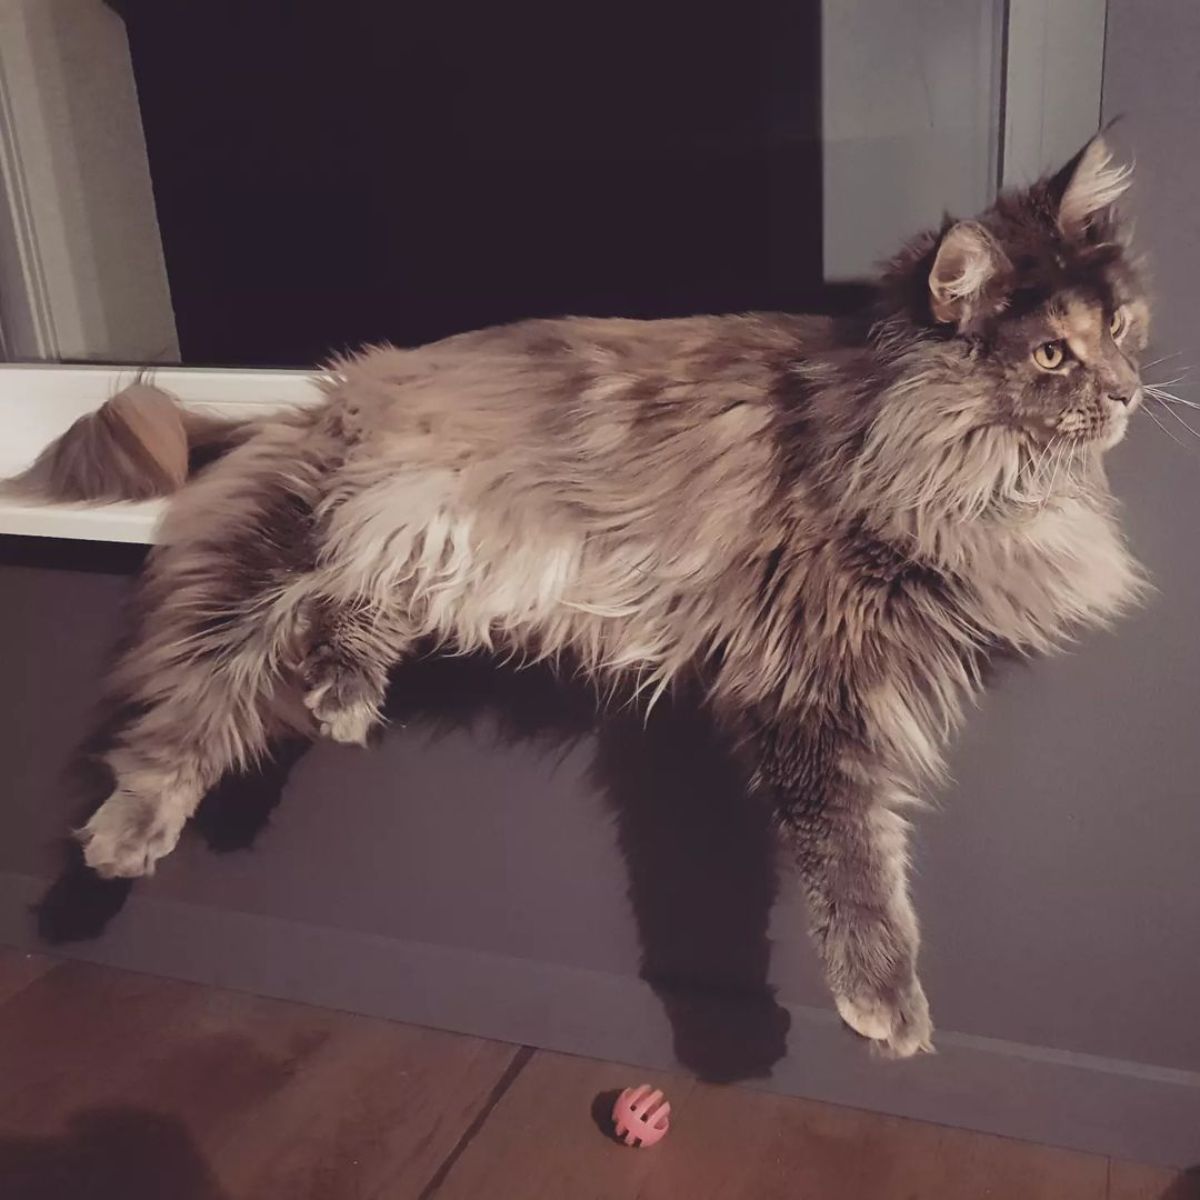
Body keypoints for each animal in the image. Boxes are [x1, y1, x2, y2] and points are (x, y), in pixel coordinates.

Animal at [9, 131, 1152, 1056]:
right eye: (1054, 353)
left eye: (1128, 327)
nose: (1132, 393)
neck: (913, 436)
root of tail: (333, 387)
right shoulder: (812, 682)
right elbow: (858, 856)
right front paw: (884, 1007)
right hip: (293, 544)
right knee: (189, 702)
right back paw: (126, 834)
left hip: (407, 541)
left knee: (357, 605)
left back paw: (341, 701)